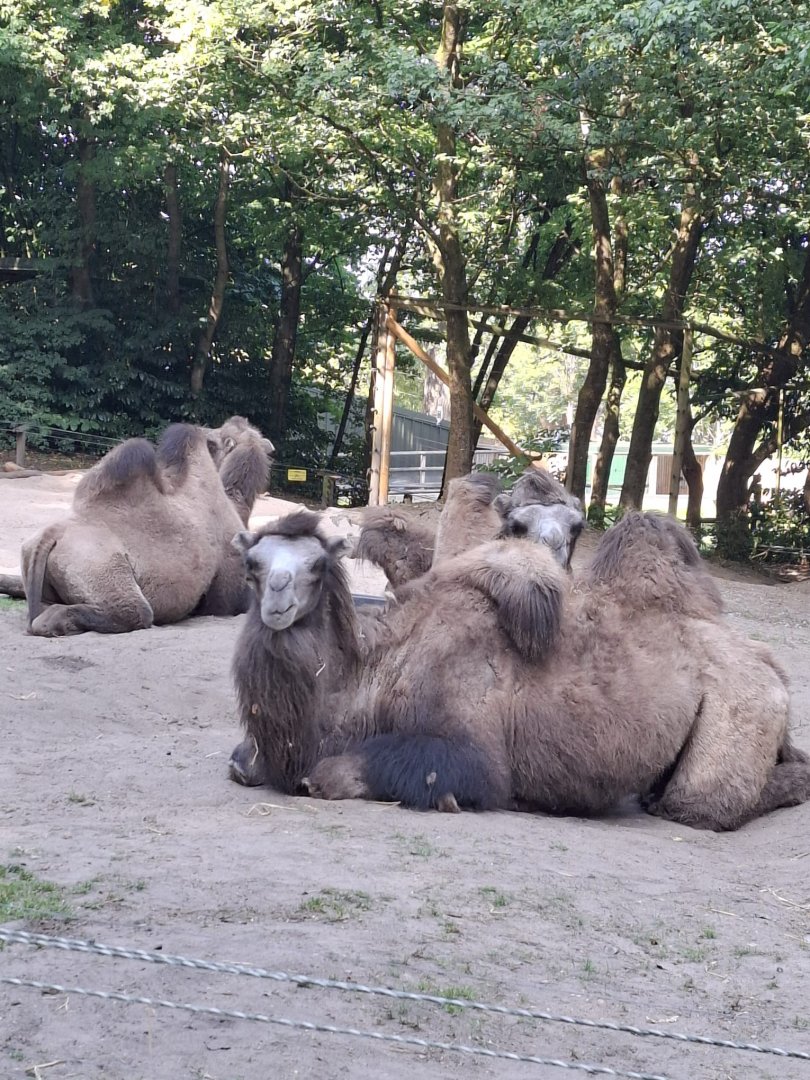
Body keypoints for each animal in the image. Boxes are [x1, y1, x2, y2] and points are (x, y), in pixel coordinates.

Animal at [229, 499, 810, 831]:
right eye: (252, 564)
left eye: (317, 565)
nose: (277, 600)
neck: (374, 670)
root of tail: (769, 664)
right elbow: (243, 762)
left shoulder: (473, 746)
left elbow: (338, 773)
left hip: (741, 703)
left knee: (701, 802)